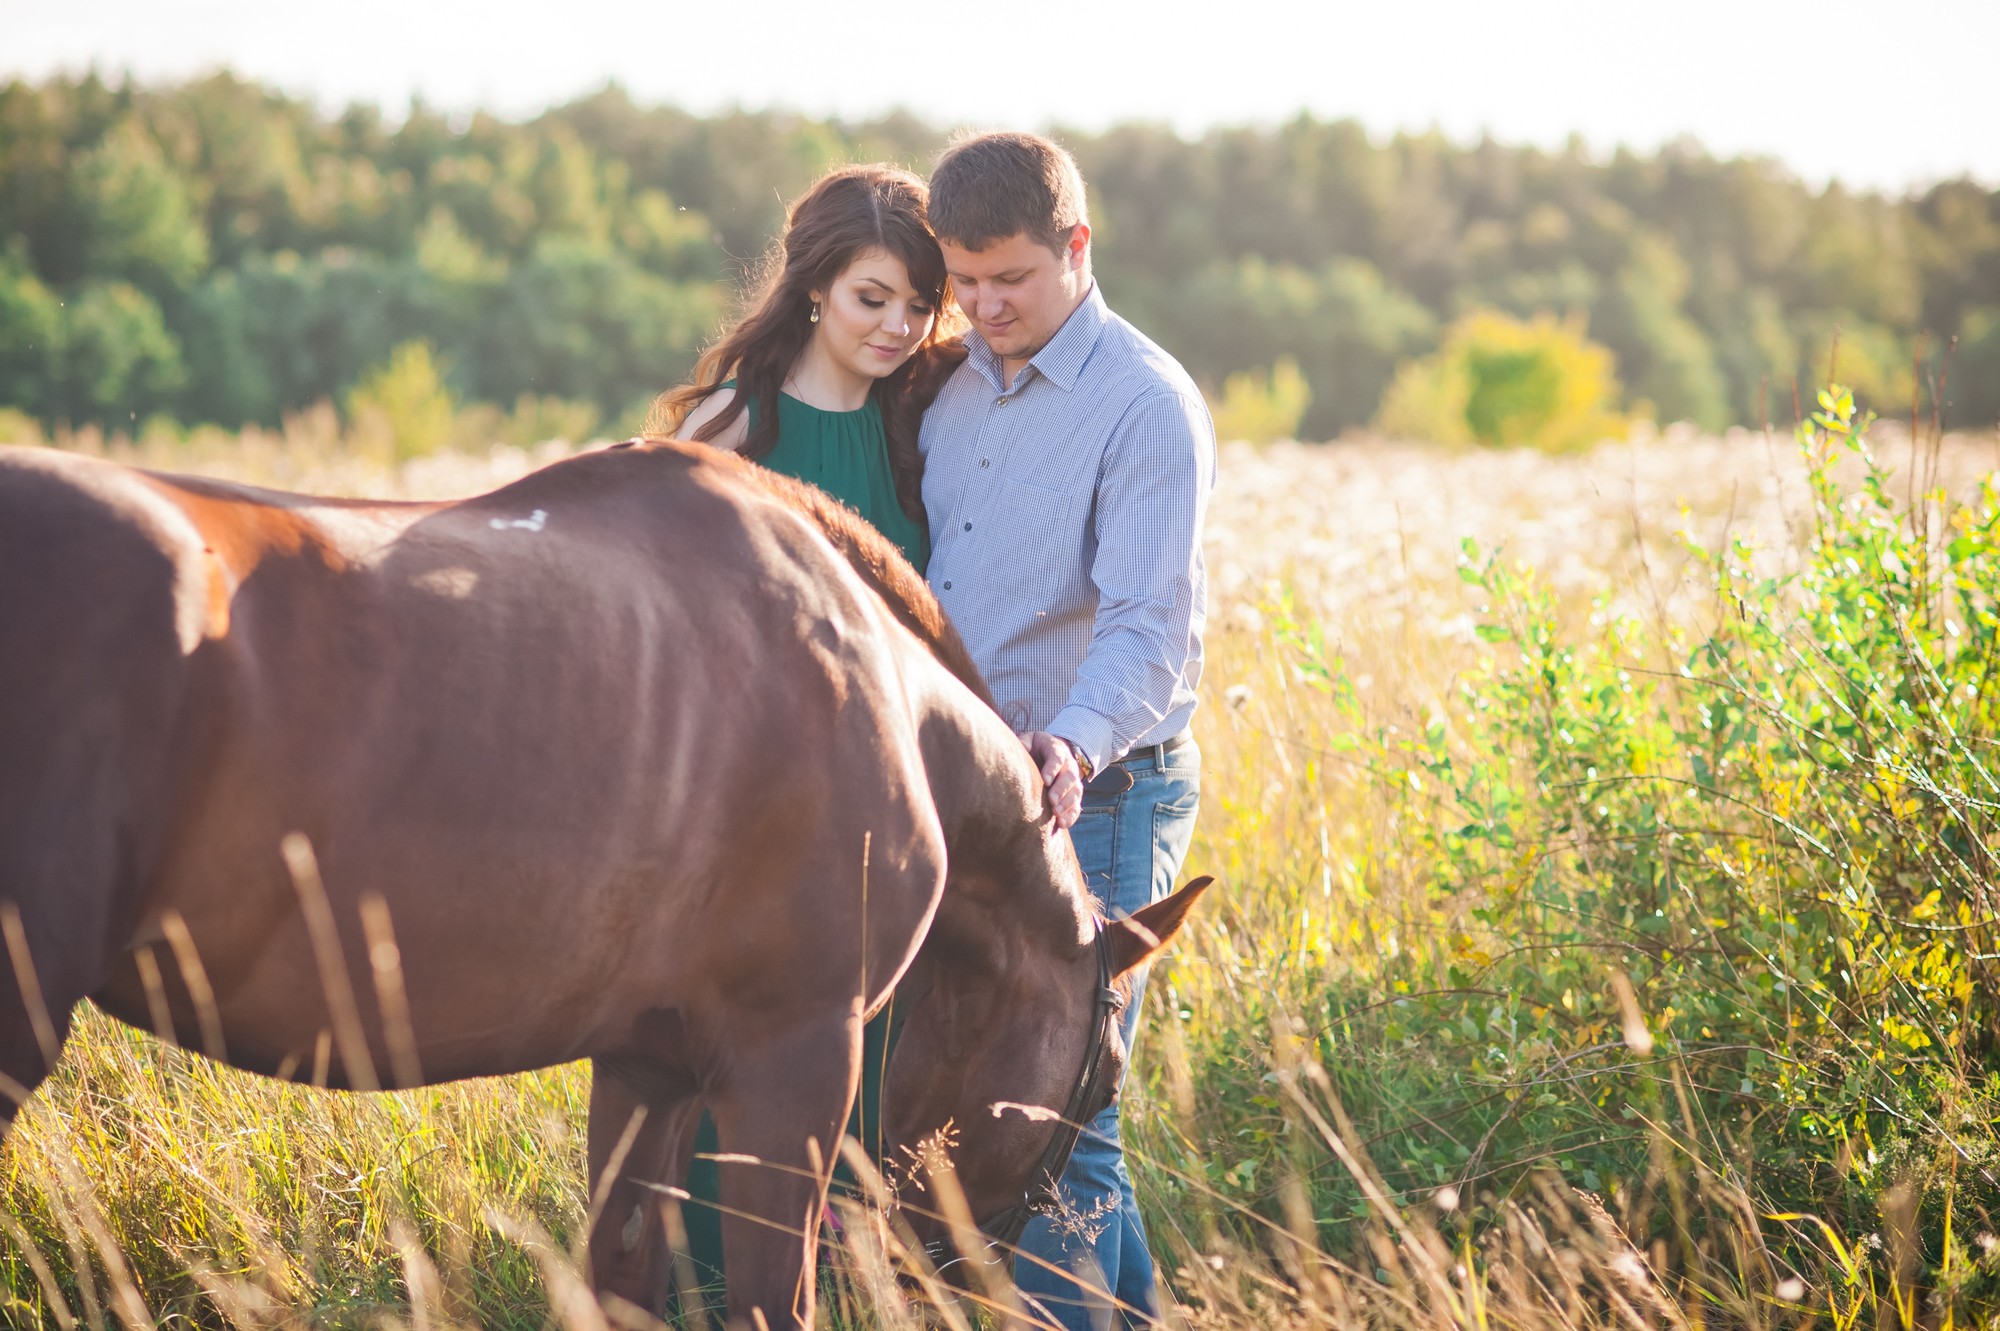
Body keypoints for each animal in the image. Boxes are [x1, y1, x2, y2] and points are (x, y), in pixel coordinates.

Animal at [0, 443, 1200, 1327]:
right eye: (1104, 1076)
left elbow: (621, 1280)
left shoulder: (646, 1070)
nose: (949, 1267)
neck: (890, 699)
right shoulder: (793, 1062)